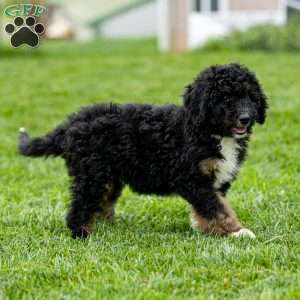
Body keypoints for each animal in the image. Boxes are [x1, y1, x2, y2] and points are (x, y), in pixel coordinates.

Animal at [18, 63, 268, 239]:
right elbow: (216, 207)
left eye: (250, 96)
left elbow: (214, 206)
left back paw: (105, 225)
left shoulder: (215, 182)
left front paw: (209, 229)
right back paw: (81, 232)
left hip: (108, 176)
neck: (209, 131)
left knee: (101, 202)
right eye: (224, 98)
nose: (245, 118)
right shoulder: (191, 178)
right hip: (91, 173)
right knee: (81, 203)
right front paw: (236, 231)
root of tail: (72, 122)